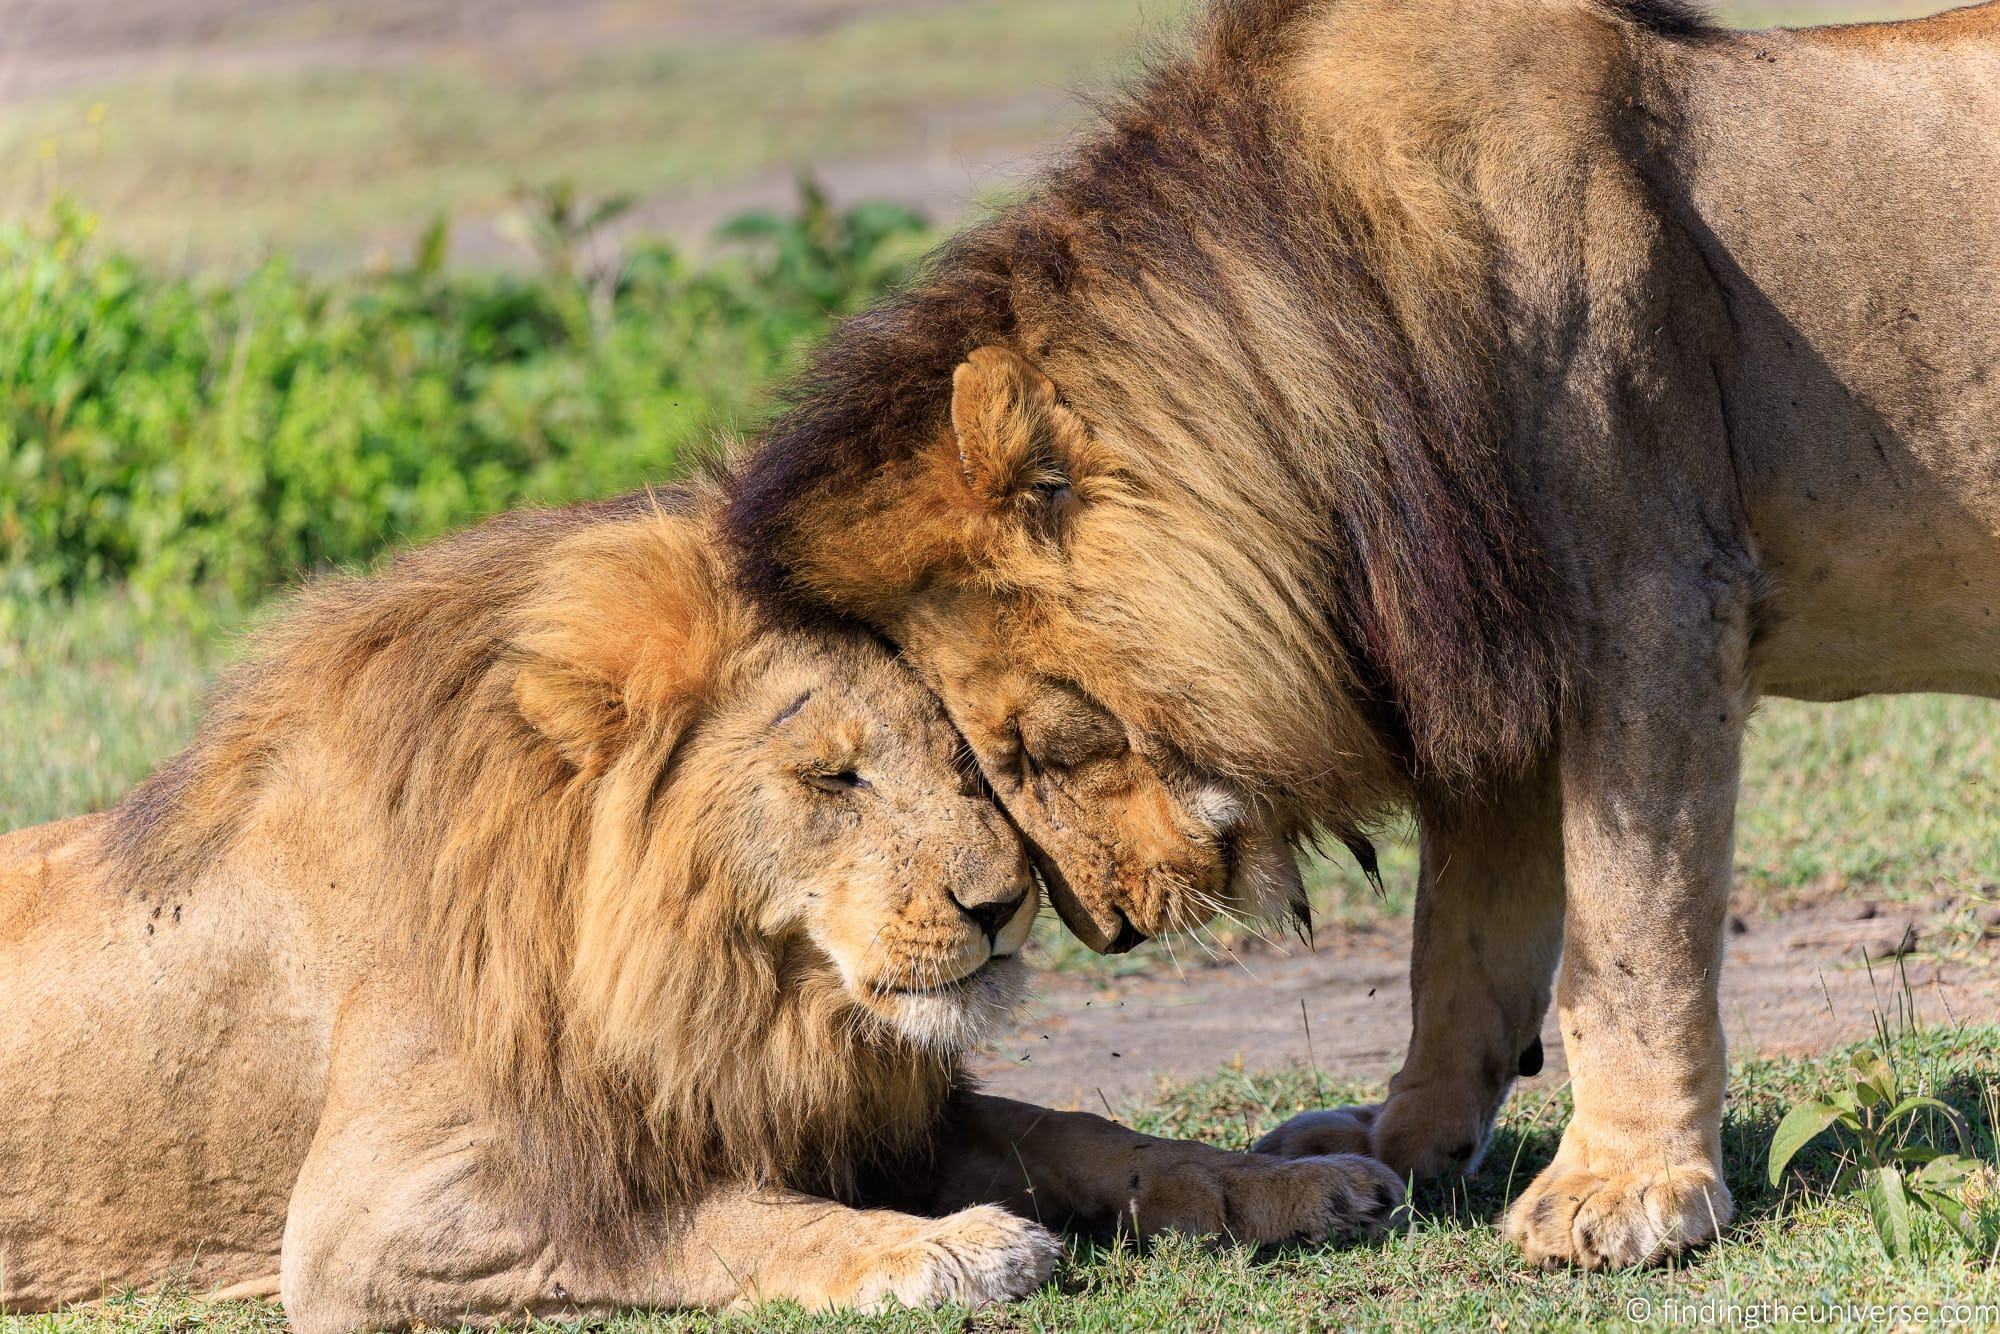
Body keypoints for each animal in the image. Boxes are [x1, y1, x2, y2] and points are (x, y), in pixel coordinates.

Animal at [0, 486, 1408, 1328]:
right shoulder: (365, 1221)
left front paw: (1301, 1182)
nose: (1002, 905)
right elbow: (683, 1219)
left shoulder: (833, 1097)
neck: (729, 983)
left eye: (960, 758)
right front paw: (943, 1250)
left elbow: (1085, 1133)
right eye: (830, 776)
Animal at [728, 0, 2000, 1280]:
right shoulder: (1492, 663)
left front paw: (1623, 1188)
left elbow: (1627, 932)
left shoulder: (1656, 603)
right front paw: (1400, 1140)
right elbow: (1460, 944)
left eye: (1041, 745)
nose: (1108, 932)